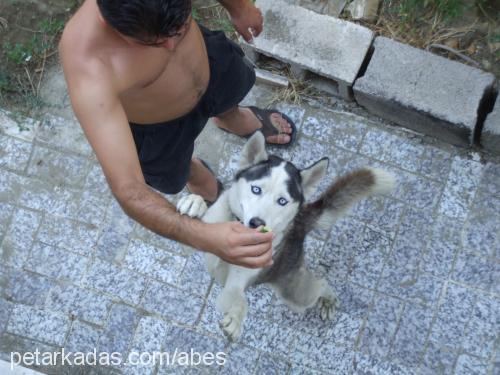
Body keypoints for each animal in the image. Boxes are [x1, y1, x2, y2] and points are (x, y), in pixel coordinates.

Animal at [176, 134, 394, 342]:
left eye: (282, 201)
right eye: (256, 189)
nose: (257, 223)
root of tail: (299, 223)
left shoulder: (238, 280)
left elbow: (239, 299)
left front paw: (236, 319)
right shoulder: (201, 243)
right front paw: (195, 203)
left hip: (296, 294)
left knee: (320, 284)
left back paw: (328, 300)